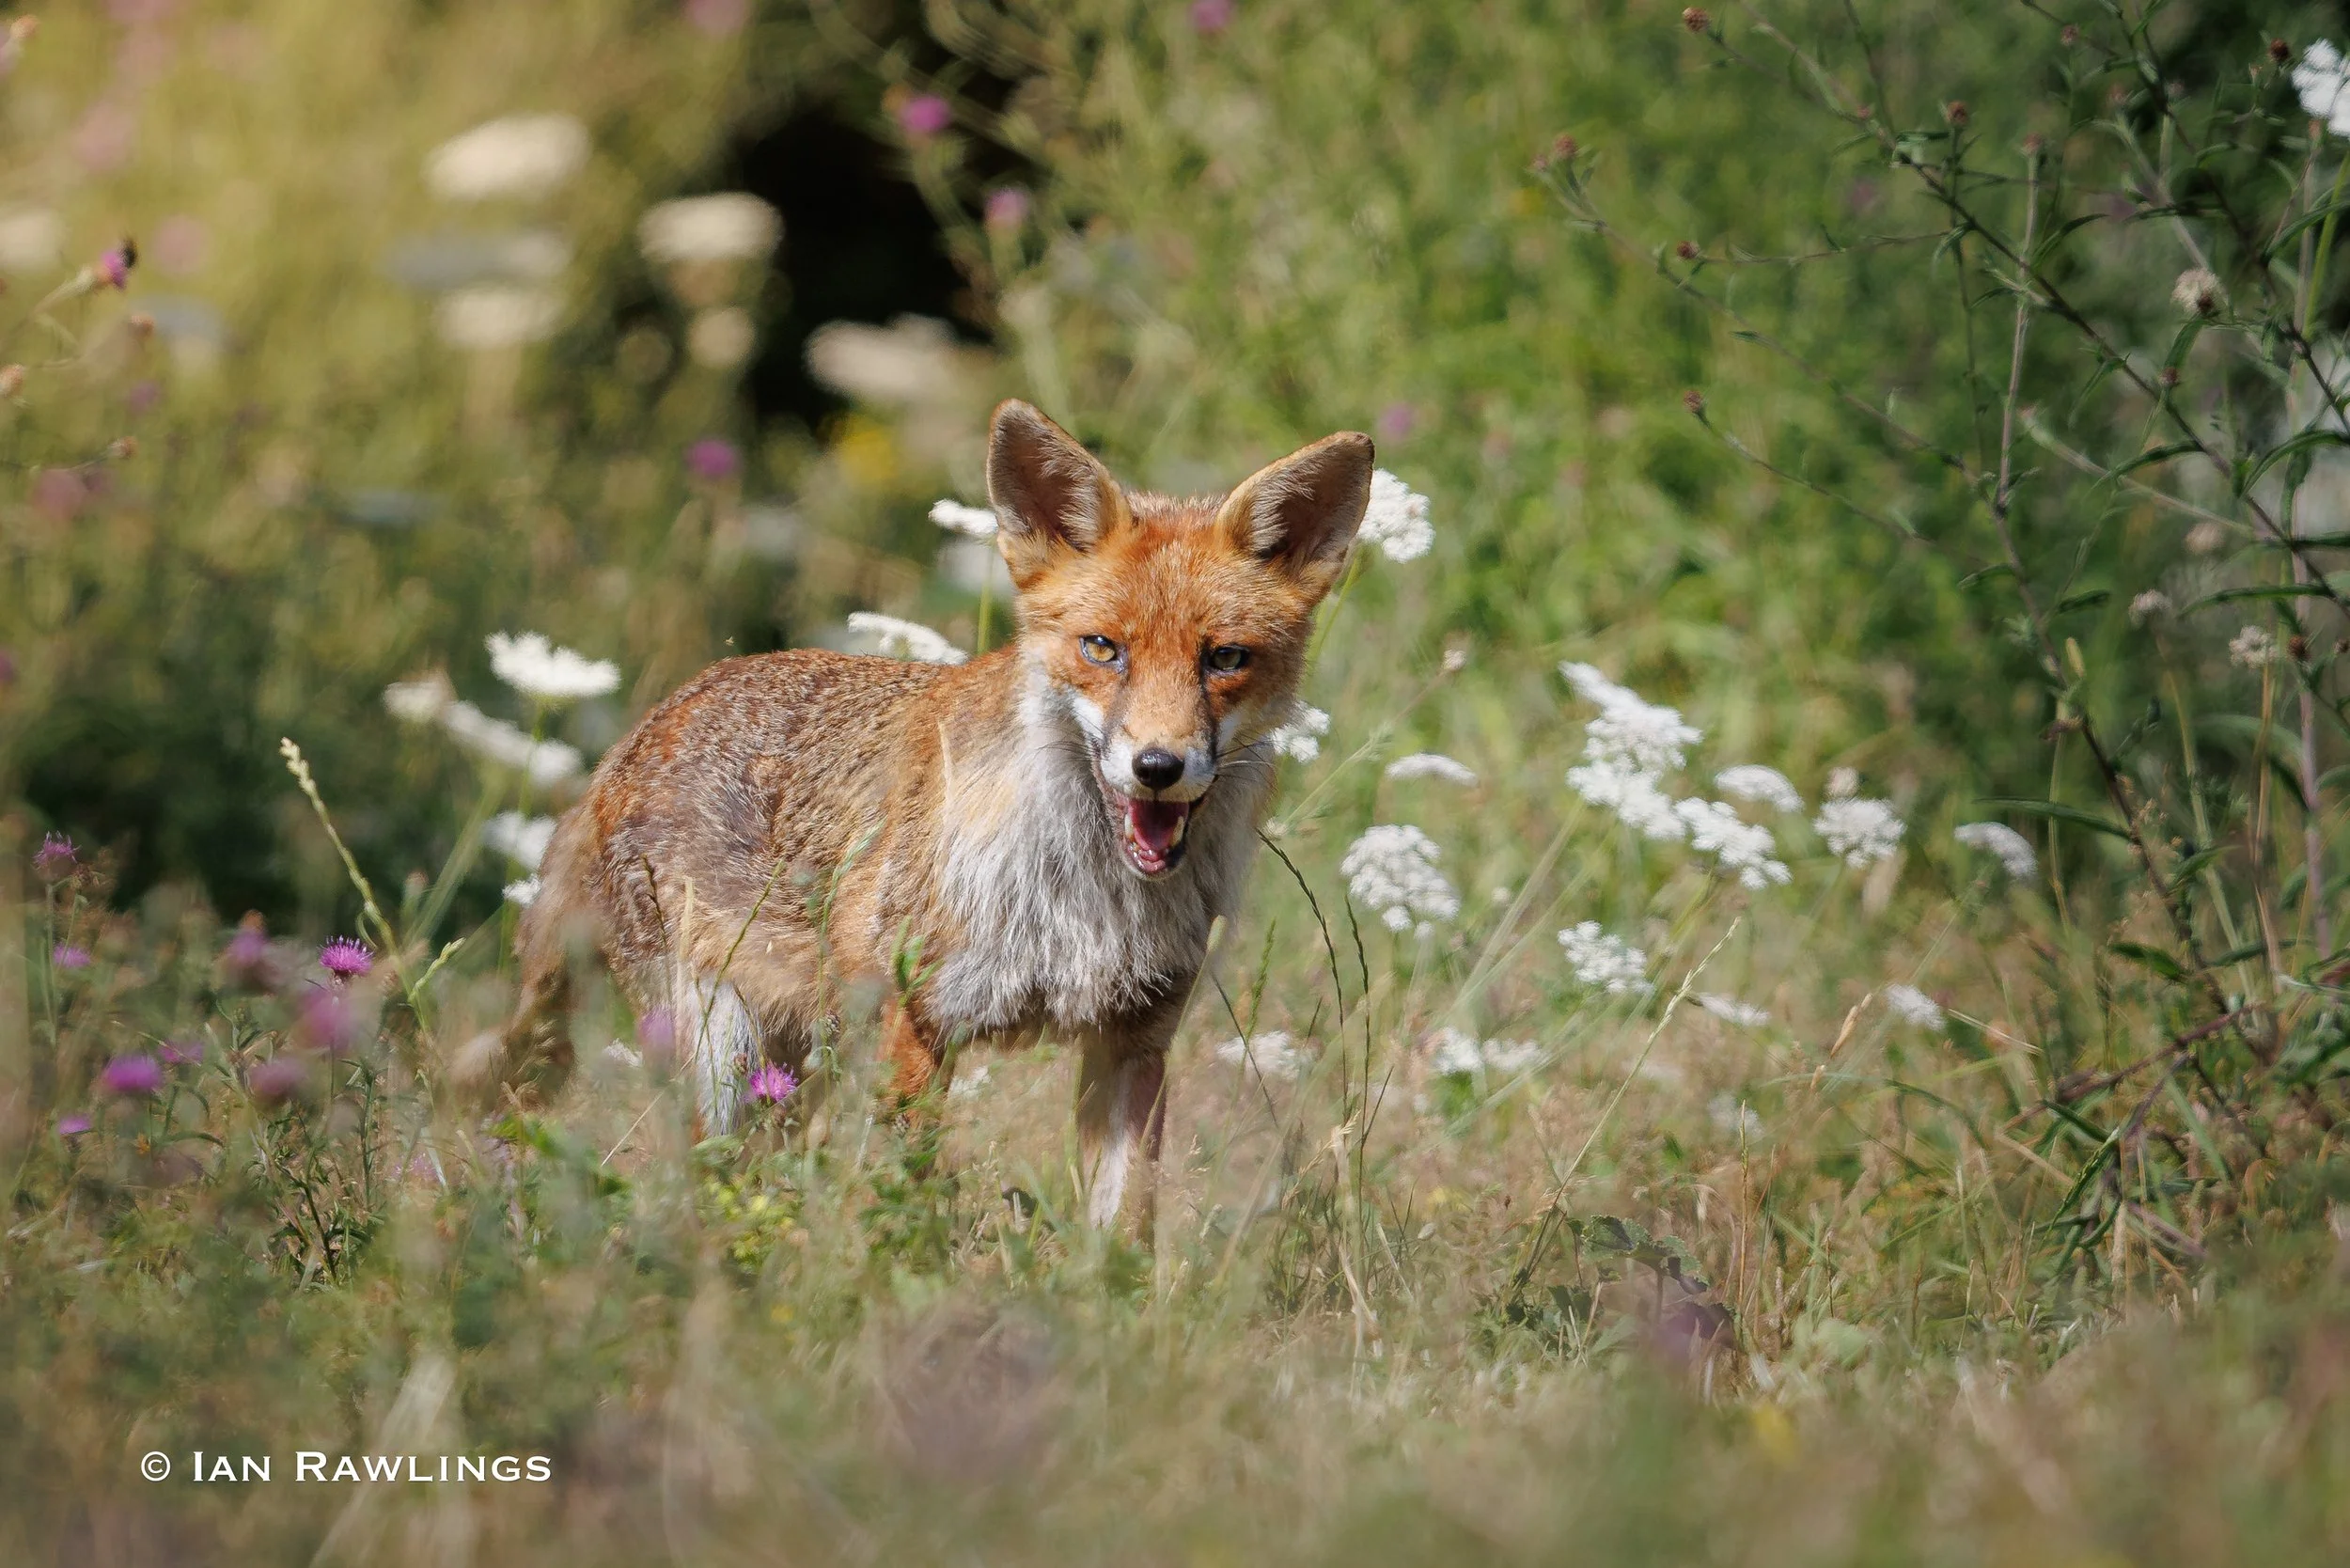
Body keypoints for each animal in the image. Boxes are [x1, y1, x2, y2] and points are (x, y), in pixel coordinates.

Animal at [499, 400, 1373, 1229]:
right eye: (1102, 649)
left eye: (1224, 659)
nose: (1157, 767)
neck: (1088, 903)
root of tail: (638, 732)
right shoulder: (917, 1025)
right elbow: (898, 1205)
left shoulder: (1135, 1042)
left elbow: (1124, 1232)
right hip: (723, 1057)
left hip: (794, 1069)